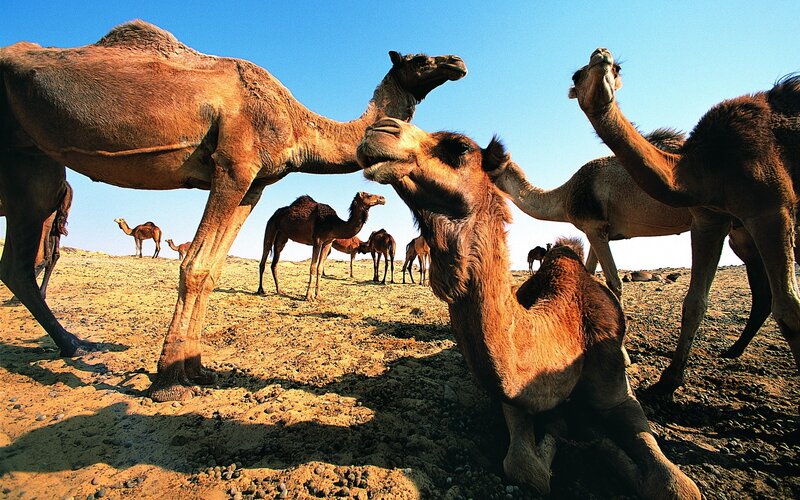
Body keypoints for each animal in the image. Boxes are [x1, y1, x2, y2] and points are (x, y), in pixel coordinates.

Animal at [257, 192, 385, 300]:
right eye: (368, 195)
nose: (382, 198)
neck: (333, 223)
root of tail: (274, 214)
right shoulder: (317, 240)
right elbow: (313, 267)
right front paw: (308, 296)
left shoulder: (328, 242)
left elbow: (319, 267)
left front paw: (318, 295)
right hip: (271, 227)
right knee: (264, 256)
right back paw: (260, 290)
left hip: (282, 236)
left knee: (274, 262)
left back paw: (279, 290)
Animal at [357, 117, 700, 498]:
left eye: (459, 147)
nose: (378, 130)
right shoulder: (515, 397)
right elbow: (524, 467)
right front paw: (571, 429)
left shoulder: (620, 395)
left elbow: (677, 485)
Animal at [569, 48, 800, 395]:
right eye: (577, 74)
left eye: (616, 68)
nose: (601, 55)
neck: (704, 164)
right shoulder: (710, 218)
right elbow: (694, 304)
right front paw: (669, 378)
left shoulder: (772, 207)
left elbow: (789, 307)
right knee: (761, 292)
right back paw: (732, 350)